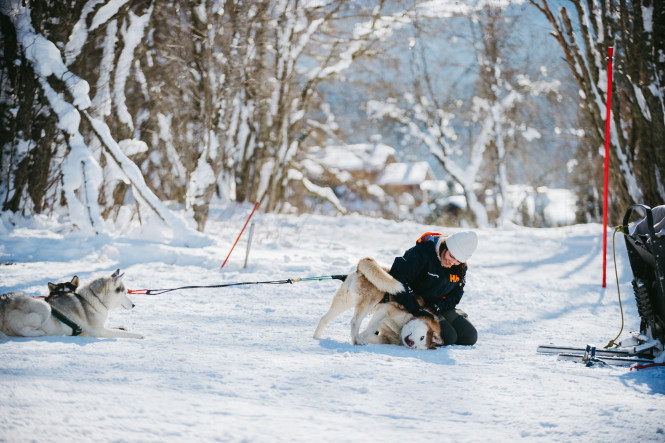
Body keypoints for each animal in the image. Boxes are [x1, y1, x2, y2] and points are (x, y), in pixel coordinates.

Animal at [312, 256, 440, 350]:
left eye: (418, 345)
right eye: (422, 337)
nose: (411, 343)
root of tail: (359, 269)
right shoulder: (384, 310)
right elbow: (372, 328)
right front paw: (360, 338)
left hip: (343, 302)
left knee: (324, 319)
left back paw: (316, 337)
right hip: (370, 302)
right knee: (354, 322)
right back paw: (356, 340)